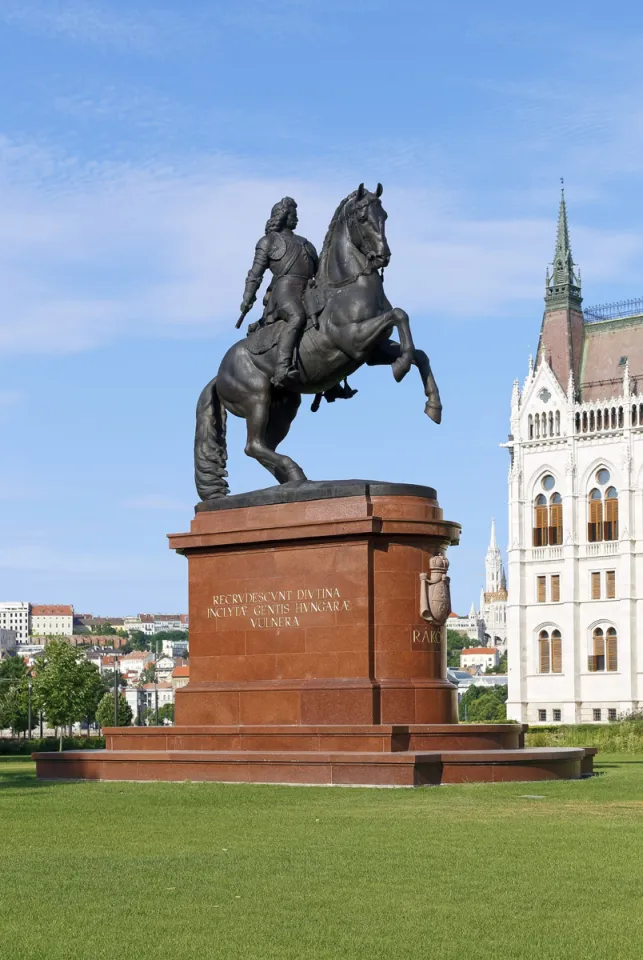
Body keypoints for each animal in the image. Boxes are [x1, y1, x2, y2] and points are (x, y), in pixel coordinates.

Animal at [194, 184, 440, 498]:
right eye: (363, 218)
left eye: (384, 215)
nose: (383, 256)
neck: (346, 287)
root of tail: (218, 374)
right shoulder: (354, 340)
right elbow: (400, 315)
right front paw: (401, 368)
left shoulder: (374, 352)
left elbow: (419, 351)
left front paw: (433, 405)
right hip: (256, 398)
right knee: (253, 445)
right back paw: (295, 473)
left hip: (284, 407)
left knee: (264, 446)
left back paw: (293, 481)